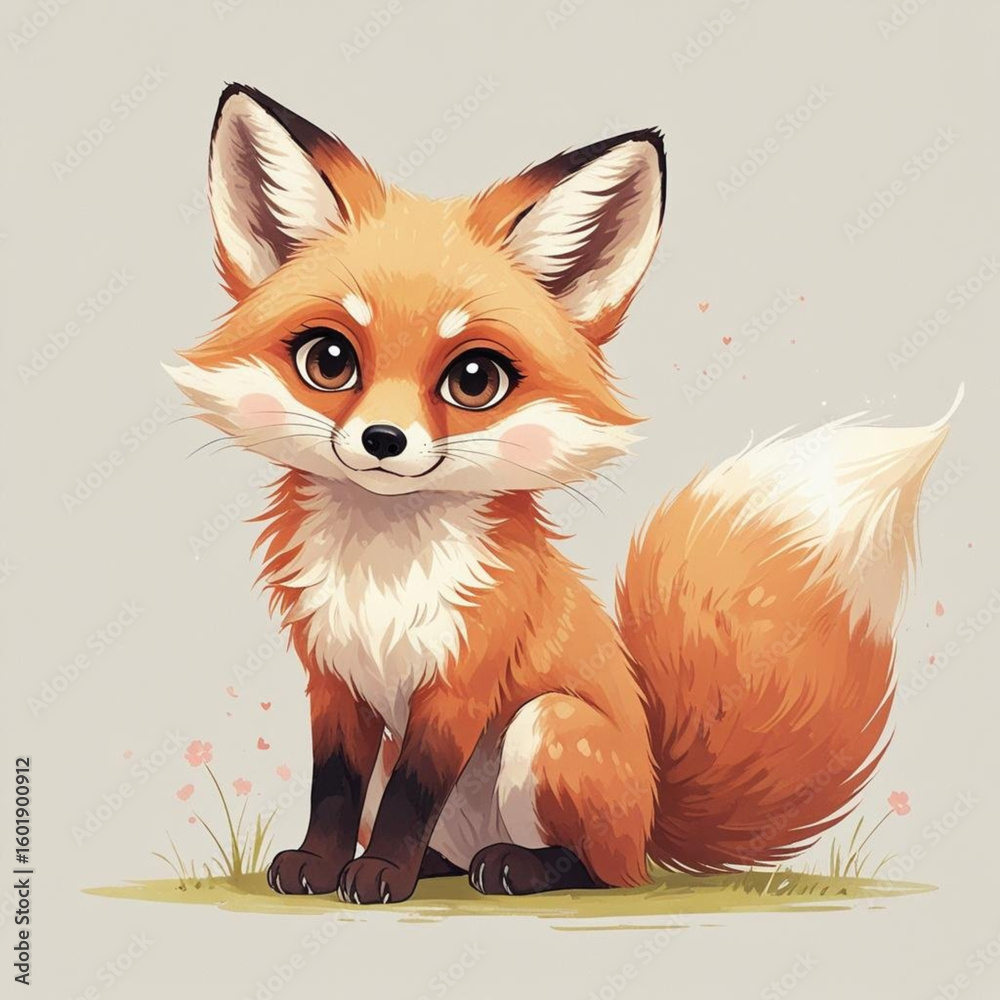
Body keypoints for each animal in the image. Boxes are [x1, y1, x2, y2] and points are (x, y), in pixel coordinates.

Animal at [169, 84, 954, 904]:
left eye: (474, 379)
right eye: (329, 360)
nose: (383, 440)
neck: (383, 574)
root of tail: (653, 816)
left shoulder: (461, 681)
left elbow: (415, 798)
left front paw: (382, 873)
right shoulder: (333, 679)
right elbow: (332, 791)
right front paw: (318, 866)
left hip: (548, 729)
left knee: (598, 871)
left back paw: (516, 867)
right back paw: (444, 866)